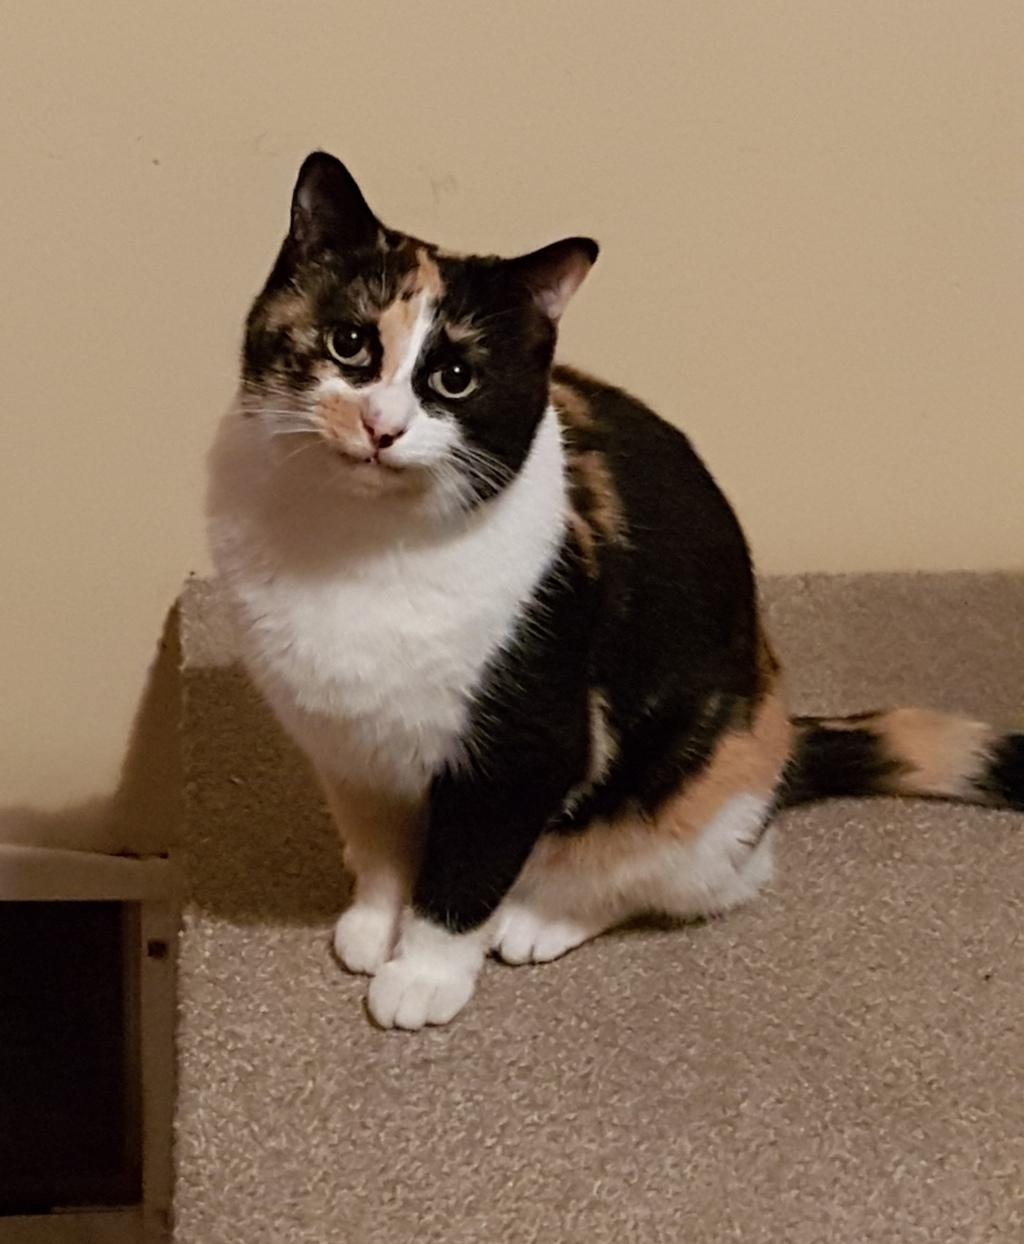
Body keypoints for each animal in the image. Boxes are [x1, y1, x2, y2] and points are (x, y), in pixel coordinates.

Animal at [207, 151, 1024, 1029]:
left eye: (455, 378)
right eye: (349, 342)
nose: (381, 427)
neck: (358, 549)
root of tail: (783, 741)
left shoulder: (525, 748)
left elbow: (463, 877)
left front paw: (422, 976)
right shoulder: (347, 747)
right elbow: (382, 850)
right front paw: (372, 926)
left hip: (704, 786)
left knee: (700, 878)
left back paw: (537, 921)